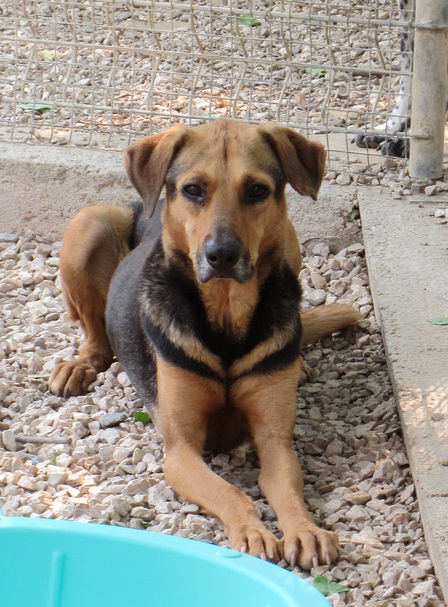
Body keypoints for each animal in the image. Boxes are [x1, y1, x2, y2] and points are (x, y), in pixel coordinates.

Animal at [49, 119, 360, 569]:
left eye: (257, 190)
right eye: (194, 189)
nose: (222, 255)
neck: (227, 315)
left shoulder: (275, 442)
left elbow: (287, 490)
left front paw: (305, 530)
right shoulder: (181, 451)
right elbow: (230, 492)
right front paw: (252, 531)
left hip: (290, 240)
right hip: (88, 223)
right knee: (96, 336)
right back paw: (80, 366)